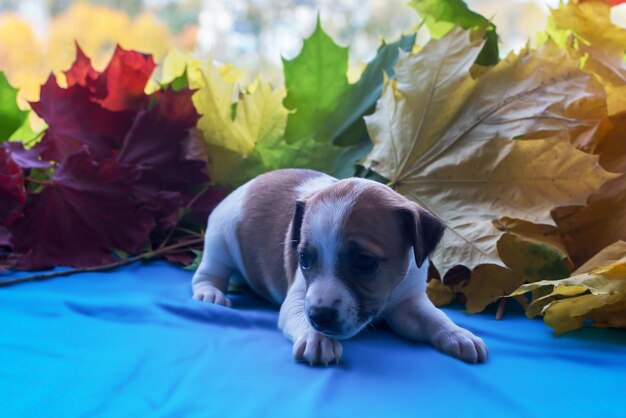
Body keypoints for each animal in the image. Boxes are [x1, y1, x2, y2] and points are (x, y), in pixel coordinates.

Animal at [191, 170, 488, 366]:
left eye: (365, 261)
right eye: (304, 259)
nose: (319, 316)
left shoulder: (409, 303)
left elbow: (434, 317)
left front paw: (458, 334)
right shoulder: (298, 299)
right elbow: (299, 314)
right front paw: (317, 338)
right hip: (219, 243)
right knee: (207, 273)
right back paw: (210, 293)